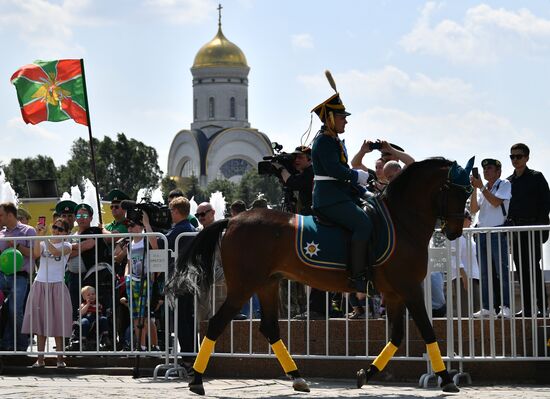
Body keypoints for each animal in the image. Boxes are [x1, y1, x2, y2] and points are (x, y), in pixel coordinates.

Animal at [167, 157, 474, 396]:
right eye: (454, 191)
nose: (456, 231)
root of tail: (232, 220)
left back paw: (297, 377)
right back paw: (197, 380)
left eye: (469, 192)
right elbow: (427, 331)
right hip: (243, 286)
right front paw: (446, 379)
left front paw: (366, 373)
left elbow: (398, 337)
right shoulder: (408, 288)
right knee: (217, 324)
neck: (402, 221)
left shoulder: (395, 293)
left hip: (267, 284)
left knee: (269, 328)